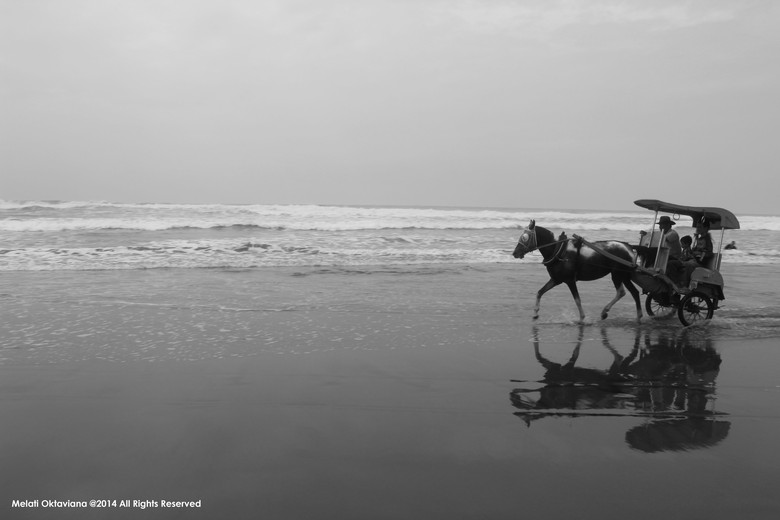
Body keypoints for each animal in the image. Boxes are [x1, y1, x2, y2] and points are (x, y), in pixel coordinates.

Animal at [508, 219, 644, 320]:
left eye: (525, 237)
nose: (515, 253)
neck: (558, 251)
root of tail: (629, 247)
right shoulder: (556, 280)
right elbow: (540, 292)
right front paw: (536, 312)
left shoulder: (570, 281)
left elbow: (577, 300)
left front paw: (582, 318)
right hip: (625, 276)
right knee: (634, 292)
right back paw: (638, 315)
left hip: (617, 275)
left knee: (621, 292)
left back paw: (605, 311)